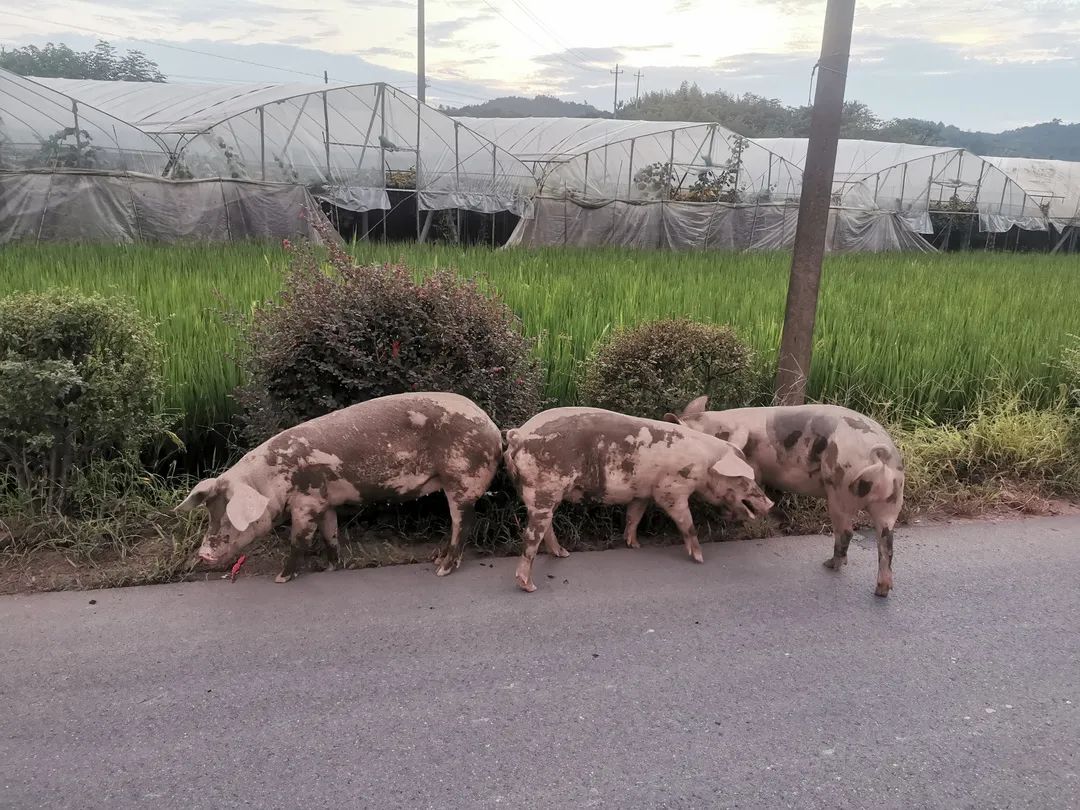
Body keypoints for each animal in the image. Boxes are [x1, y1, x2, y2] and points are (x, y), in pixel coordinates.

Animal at [174, 393, 503, 583]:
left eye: (229, 518)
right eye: (210, 514)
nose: (203, 554)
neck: (270, 481)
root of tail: (492, 428)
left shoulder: (305, 502)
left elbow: (299, 540)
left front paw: (281, 578)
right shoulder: (324, 501)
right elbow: (330, 533)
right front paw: (331, 567)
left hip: (461, 478)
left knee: (463, 523)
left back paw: (442, 569)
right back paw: (436, 559)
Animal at [501, 408, 773, 591]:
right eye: (743, 479)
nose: (770, 503)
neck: (705, 466)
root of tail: (518, 435)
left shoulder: (642, 492)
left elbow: (634, 516)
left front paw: (635, 545)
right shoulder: (671, 490)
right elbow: (687, 523)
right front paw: (700, 558)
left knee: (546, 528)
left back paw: (563, 554)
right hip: (543, 489)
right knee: (531, 535)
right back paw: (529, 586)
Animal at [665, 397, 902, 600]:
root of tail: (880, 456)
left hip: (840, 489)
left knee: (847, 532)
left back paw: (829, 564)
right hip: (891, 501)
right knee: (886, 542)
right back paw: (881, 591)